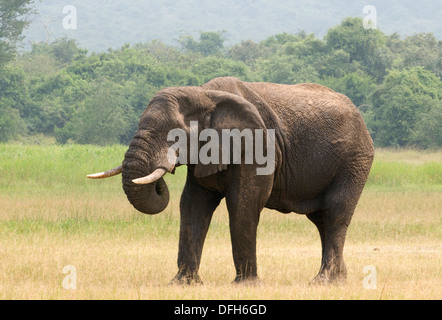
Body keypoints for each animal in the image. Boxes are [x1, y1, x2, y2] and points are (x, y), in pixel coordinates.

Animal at [88, 76, 374, 284]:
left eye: (175, 135)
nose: (162, 175)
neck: (203, 94)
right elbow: (192, 204)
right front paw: (182, 284)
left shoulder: (257, 147)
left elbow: (243, 203)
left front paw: (247, 285)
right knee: (321, 220)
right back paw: (338, 279)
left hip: (355, 160)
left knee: (335, 214)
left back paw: (324, 281)